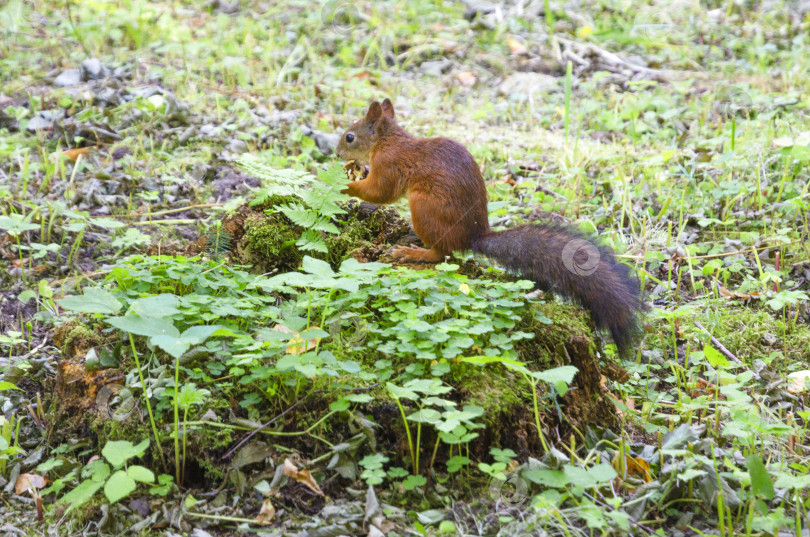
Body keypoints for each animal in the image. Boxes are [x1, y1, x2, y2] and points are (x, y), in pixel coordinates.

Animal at [332, 98, 636, 354]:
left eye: (350, 136)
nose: (336, 154)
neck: (388, 141)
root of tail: (474, 237)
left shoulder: (389, 165)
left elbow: (380, 193)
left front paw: (346, 185)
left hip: (424, 207)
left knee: (442, 253)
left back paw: (413, 252)